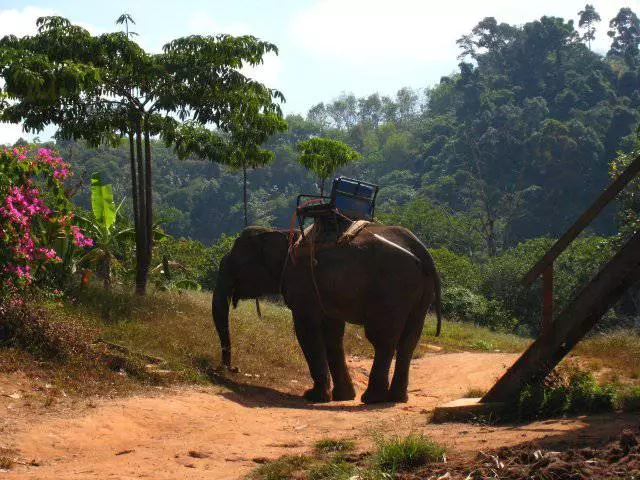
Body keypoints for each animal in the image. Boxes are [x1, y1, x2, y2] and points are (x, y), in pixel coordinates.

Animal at [212, 223, 442, 404]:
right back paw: (397, 398)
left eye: (234, 264)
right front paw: (343, 396)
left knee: (382, 339)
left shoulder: (302, 285)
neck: (284, 233)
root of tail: (423, 253)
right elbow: (332, 334)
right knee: (408, 342)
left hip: (393, 290)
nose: (232, 368)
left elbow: (306, 330)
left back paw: (373, 399)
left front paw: (313, 396)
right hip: (421, 294)